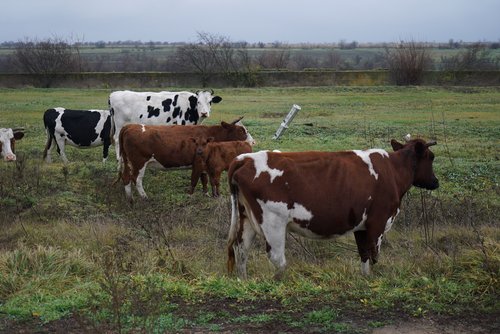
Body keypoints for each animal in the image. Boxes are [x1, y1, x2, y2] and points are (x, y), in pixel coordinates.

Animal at [120, 120, 254, 200]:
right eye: (241, 130)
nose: (253, 142)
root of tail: (130, 126)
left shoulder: (205, 164)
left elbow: (204, 179)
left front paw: (206, 194)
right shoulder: (197, 162)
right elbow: (194, 179)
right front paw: (190, 195)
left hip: (127, 161)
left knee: (126, 177)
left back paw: (129, 198)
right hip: (139, 162)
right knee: (136, 179)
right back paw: (144, 197)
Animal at [227, 138, 438, 280]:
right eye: (431, 157)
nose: (436, 182)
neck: (392, 170)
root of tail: (246, 158)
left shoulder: (361, 226)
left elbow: (364, 254)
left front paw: (366, 279)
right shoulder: (377, 222)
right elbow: (374, 254)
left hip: (246, 219)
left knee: (240, 250)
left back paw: (243, 280)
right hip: (273, 223)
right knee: (277, 258)